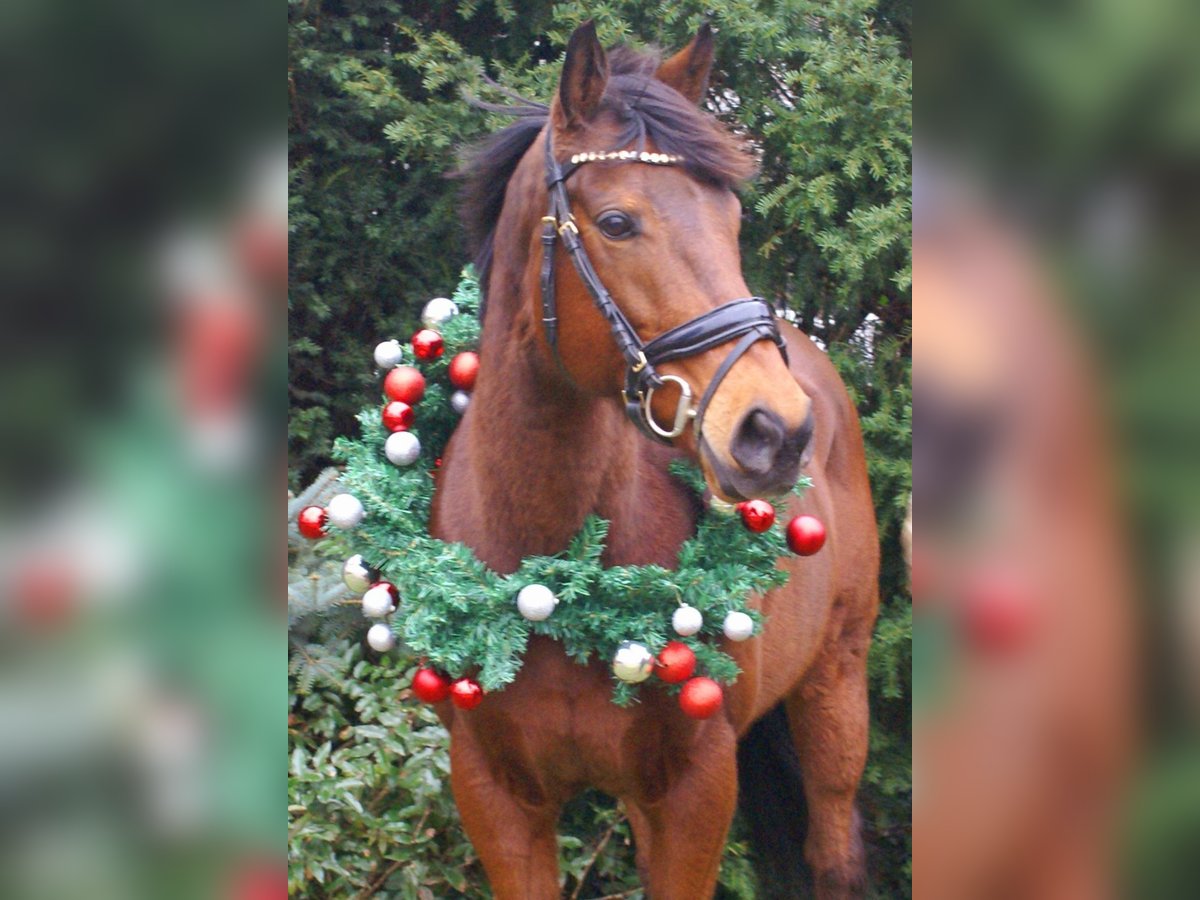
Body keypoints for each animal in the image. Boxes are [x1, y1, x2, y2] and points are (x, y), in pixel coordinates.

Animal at [432, 22, 883, 900]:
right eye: (615, 222)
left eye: (733, 217)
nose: (776, 431)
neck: (553, 575)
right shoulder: (497, 798)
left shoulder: (693, 792)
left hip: (836, 687)